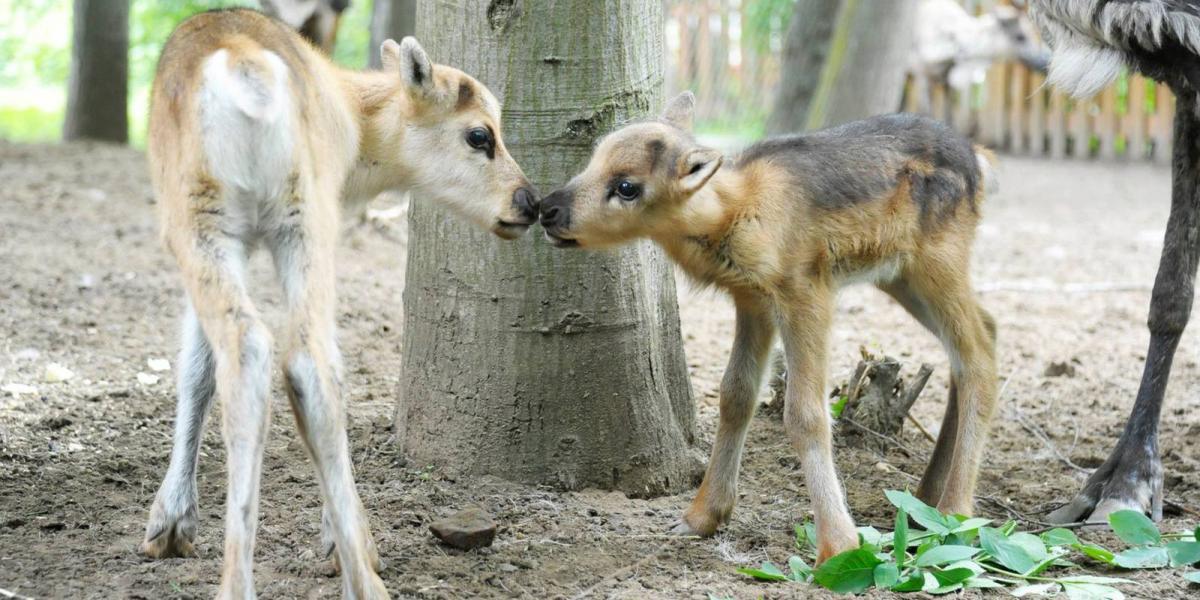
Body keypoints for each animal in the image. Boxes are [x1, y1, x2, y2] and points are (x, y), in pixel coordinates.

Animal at [540, 91, 998, 559]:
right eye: (594, 158)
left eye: (627, 187)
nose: (547, 209)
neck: (736, 212)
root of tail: (980, 160)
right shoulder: (752, 301)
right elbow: (735, 394)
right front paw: (701, 516)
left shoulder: (806, 292)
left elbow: (805, 413)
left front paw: (838, 545)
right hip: (900, 276)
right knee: (984, 331)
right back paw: (927, 498)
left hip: (937, 260)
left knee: (978, 355)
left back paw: (956, 513)